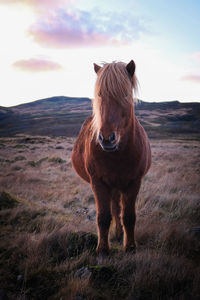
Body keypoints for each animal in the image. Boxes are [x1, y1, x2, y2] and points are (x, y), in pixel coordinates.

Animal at [71, 60, 151, 255]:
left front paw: (130, 247)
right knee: (114, 210)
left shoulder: (134, 182)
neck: (117, 156)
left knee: (118, 210)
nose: (107, 138)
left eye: (125, 94)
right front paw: (102, 249)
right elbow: (103, 217)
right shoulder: (98, 183)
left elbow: (128, 216)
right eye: (100, 94)